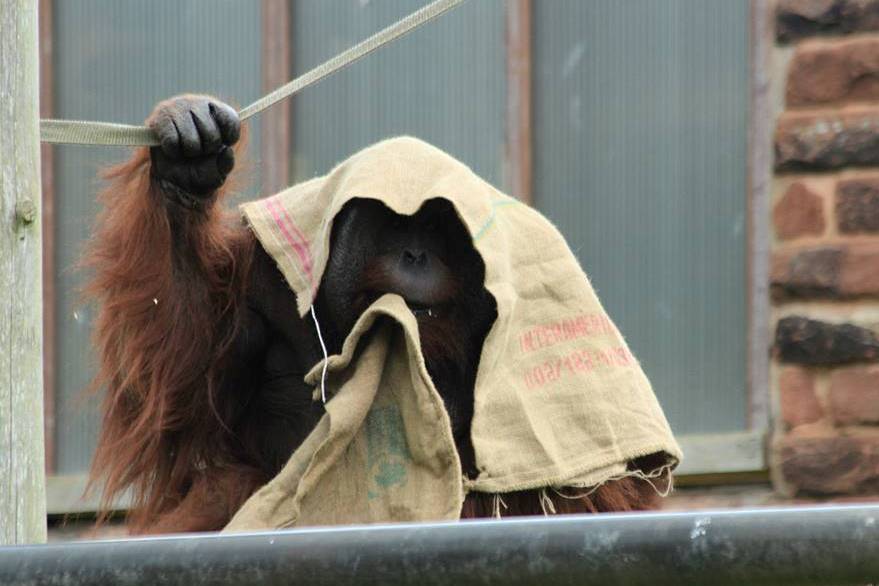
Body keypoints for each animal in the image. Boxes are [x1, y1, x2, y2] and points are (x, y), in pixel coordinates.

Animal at [84, 95, 661, 534]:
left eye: (437, 229)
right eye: (393, 225)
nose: (415, 253)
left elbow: (588, 488)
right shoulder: (259, 287)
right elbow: (177, 381)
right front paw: (187, 167)